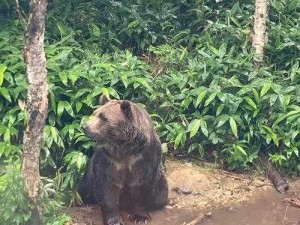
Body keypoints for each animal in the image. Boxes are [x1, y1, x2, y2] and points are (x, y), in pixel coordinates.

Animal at [78, 94, 169, 225]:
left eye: (103, 117)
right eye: (94, 113)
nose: (85, 126)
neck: (125, 149)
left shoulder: (145, 157)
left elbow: (142, 185)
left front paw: (140, 217)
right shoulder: (108, 160)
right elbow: (107, 186)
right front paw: (114, 220)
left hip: (161, 181)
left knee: (161, 195)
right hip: (88, 178)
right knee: (84, 190)